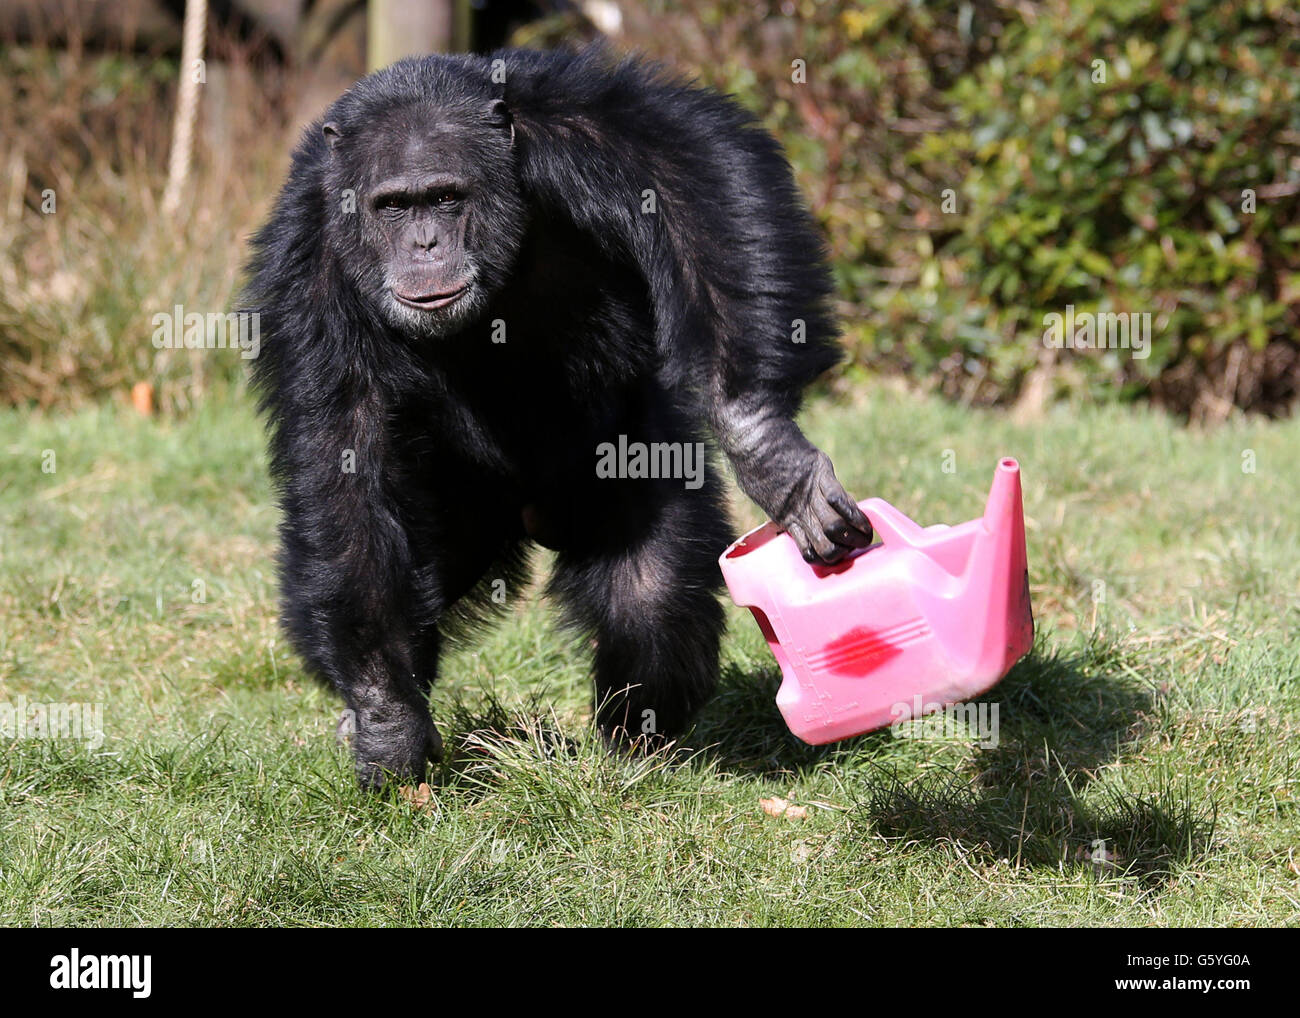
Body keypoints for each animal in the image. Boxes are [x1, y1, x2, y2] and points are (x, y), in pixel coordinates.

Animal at [244, 47, 873, 790]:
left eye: (445, 197)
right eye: (392, 206)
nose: (424, 244)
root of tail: (529, 515)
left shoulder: (574, 123)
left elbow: (692, 167)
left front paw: (764, 444)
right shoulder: (307, 272)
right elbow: (344, 463)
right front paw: (383, 719)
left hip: (619, 458)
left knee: (650, 593)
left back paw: (634, 750)